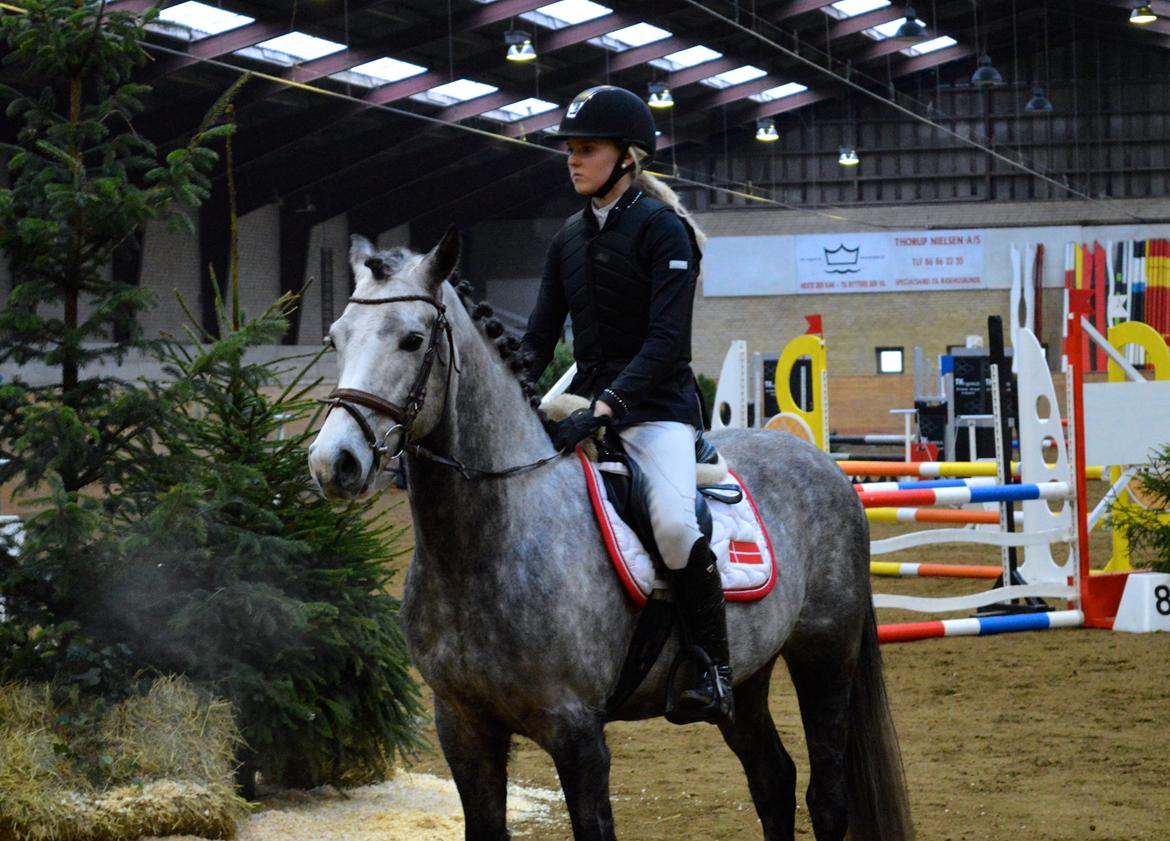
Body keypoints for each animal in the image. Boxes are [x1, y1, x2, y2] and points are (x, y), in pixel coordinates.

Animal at [307, 228, 914, 841]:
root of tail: (824, 464)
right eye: (335, 338)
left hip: (825, 657)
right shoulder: (462, 726)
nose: (334, 463)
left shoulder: (578, 735)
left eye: (412, 340)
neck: (483, 547)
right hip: (748, 676)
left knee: (826, 798)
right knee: (773, 779)